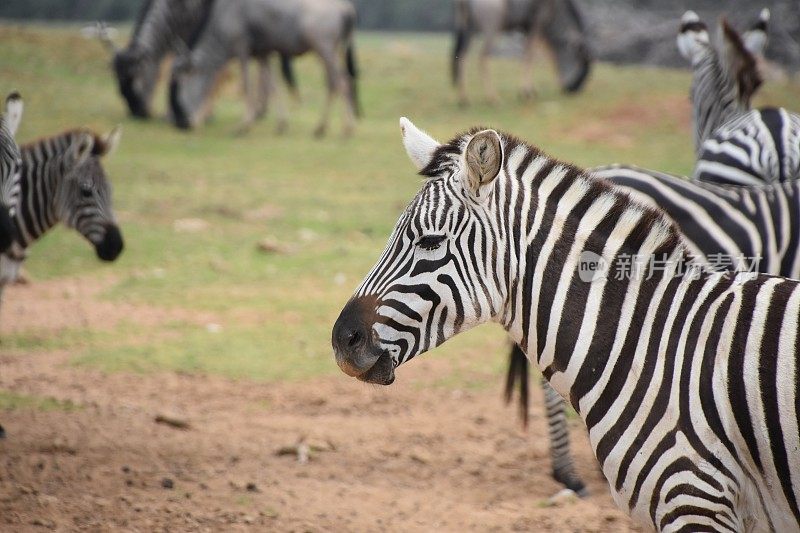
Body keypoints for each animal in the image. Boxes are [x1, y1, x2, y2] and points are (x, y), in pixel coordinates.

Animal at [97, 0, 296, 121]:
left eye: (136, 80)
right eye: (119, 88)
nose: (137, 112)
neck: (172, 7)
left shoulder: (201, 26)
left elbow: (206, 71)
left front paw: (202, 113)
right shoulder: (181, 33)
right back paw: (262, 110)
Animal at [170, 0, 360, 136]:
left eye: (183, 80)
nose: (182, 111)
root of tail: (346, 8)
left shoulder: (242, 50)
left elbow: (244, 86)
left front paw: (244, 125)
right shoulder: (263, 54)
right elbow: (273, 86)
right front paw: (281, 124)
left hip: (324, 50)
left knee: (341, 83)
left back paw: (346, 128)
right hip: (333, 53)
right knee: (337, 83)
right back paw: (322, 127)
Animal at [454, 0, 592, 105]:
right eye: (580, 61)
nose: (573, 89)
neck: (556, 6)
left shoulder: (528, 28)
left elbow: (546, 53)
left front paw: (532, 89)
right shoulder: (537, 22)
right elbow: (530, 54)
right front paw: (526, 93)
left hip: (469, 28)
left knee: (462, 56)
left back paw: (464, 99)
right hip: (492, 28)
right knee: (482, 57)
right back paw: (492, 98)